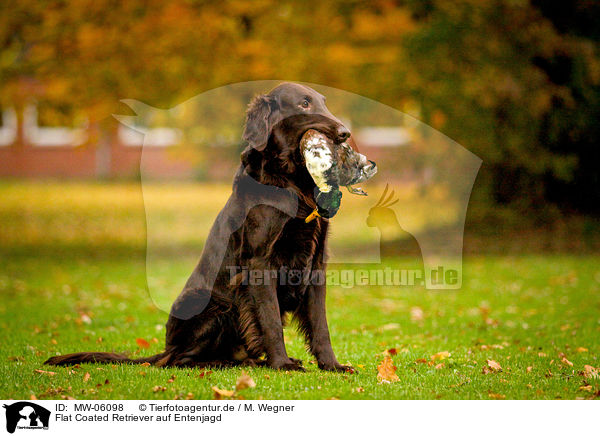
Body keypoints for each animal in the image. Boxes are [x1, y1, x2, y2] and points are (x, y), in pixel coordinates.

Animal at [45, 82, 376, 372]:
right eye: (304, 103)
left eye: (323, 102)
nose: (345, 133)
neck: (290, 182)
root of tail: (166, 348)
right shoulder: (259, 262)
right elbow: (269, 320)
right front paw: (282, 364)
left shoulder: (316, 262)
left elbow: (320, 325)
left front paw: (332, 365)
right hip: (214, 305)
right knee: (180, 361)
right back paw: (227, 363)